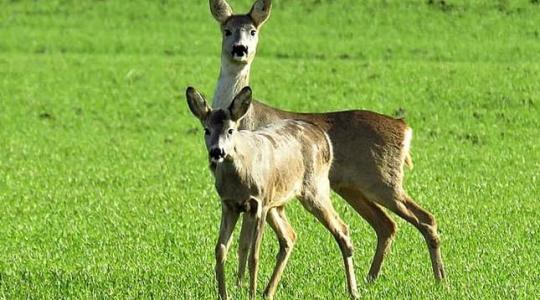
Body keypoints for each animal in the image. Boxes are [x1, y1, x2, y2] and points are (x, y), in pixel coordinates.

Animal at [186, 85, 358, 298]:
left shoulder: (259, 203)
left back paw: (353, 291)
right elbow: (223, 249)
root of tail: (323, 136)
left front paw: (249, 294)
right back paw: (268, 291)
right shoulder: (230, 204)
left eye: (230, 130)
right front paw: (226, 293)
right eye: (206, 130)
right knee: (289, 236)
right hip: (277, 203)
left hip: (314, 188)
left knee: (342, 228)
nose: (217, 151)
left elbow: (253, 255)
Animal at [207, 0, 442, 292]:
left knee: (425, 218)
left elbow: (247, 242)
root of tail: (405, 129)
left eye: (252, 30)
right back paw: (370, 280)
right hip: (353, 187)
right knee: (386, 224)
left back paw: (440, 281)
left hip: (384, 182)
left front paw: (240, 286)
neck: (243, 119)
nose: (240, 49)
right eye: (227, 30)